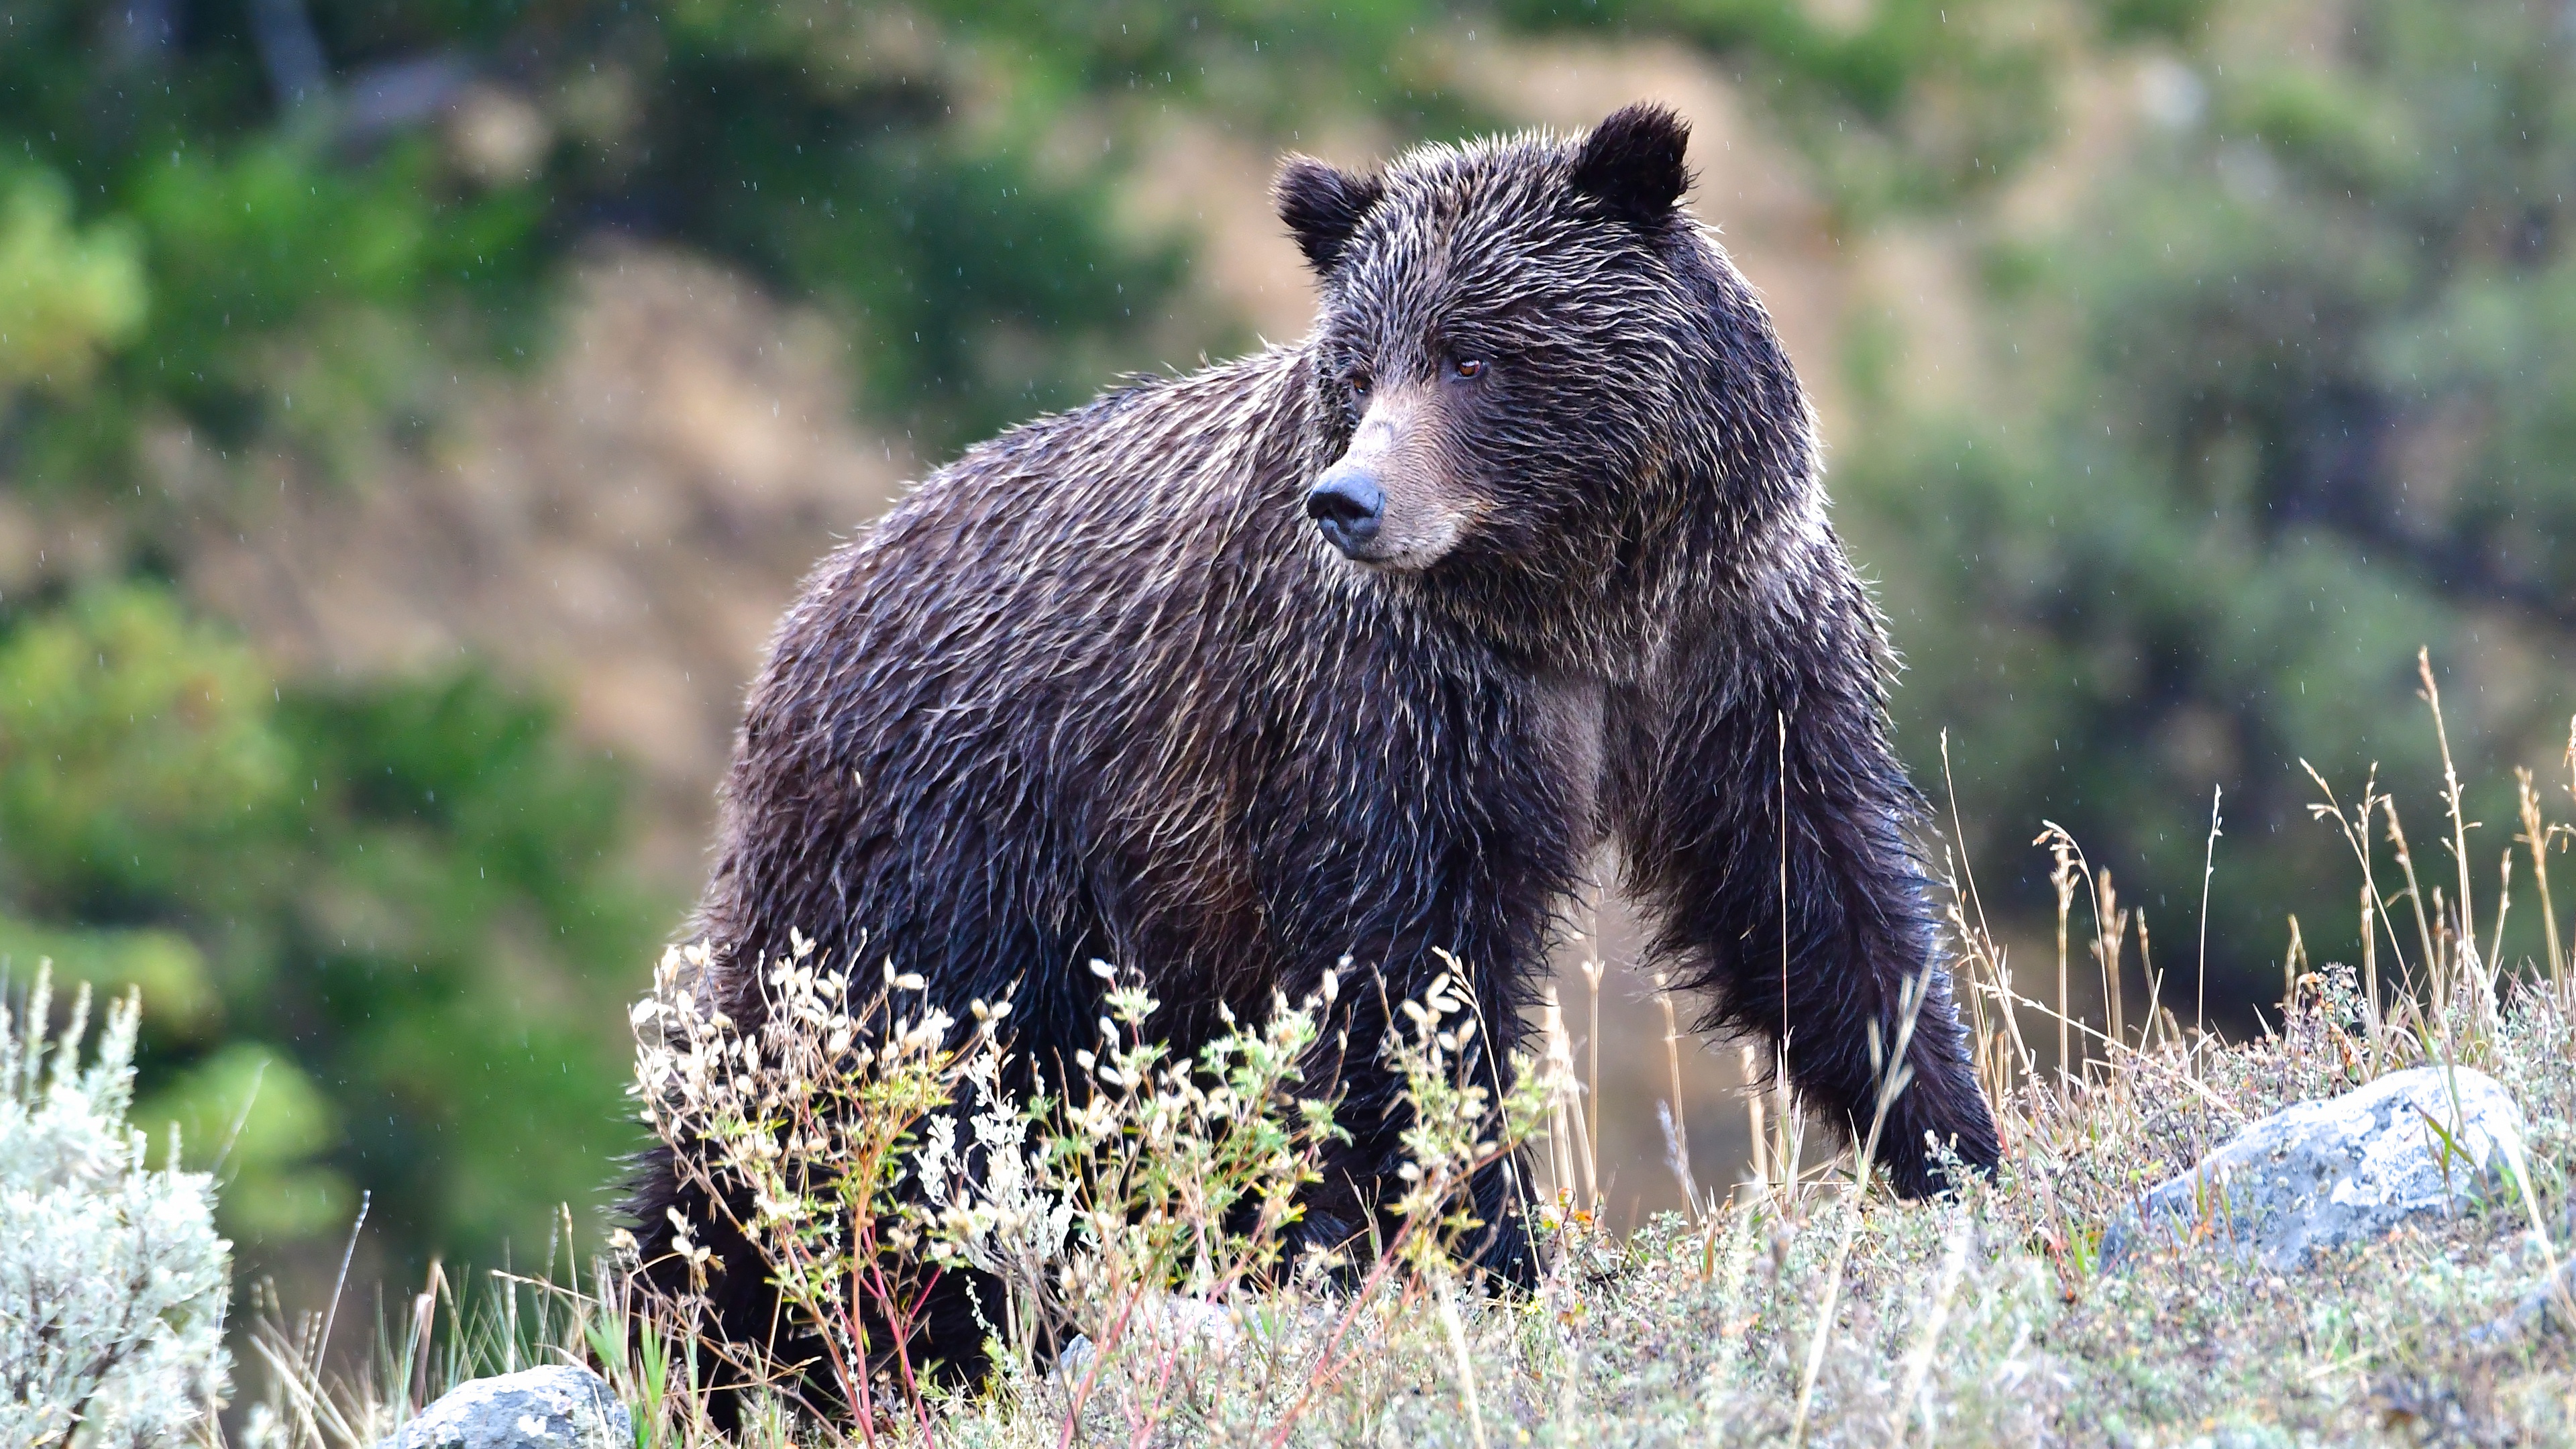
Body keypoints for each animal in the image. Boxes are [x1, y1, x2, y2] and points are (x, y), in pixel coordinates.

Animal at [633, 101, 1998, 1392]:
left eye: (1471, 351)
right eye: (1358, 367)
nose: (1350, 501)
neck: (1576, 605)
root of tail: (803, 618)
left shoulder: (1731, 652)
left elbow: (1810, 892)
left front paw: (1951, 1141)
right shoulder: (1381, 710)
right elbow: (1410, 984)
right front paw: (1496, 1252)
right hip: (939, 865)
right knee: (817, 1104)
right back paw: (726, 1334)